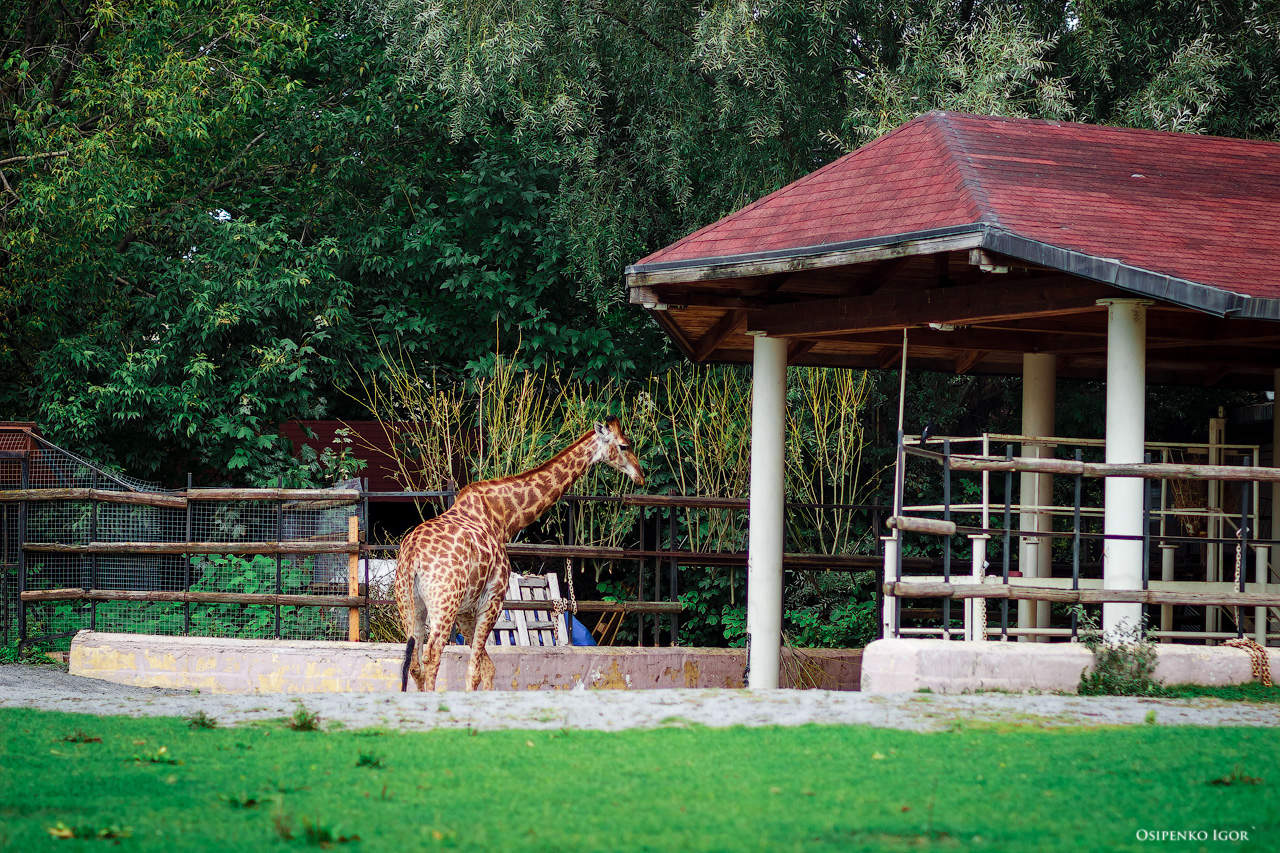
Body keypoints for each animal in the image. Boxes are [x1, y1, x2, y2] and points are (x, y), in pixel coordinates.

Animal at [395, 416, 644, 692]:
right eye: (624, 445)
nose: (641, 476)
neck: (504, 517)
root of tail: (412, 557)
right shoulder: (492, 600)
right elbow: (476, 671)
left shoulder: (465, 609)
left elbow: (487, 668)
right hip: (443, 602)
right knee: (432, 656)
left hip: (410, 604)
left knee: (414, 662)